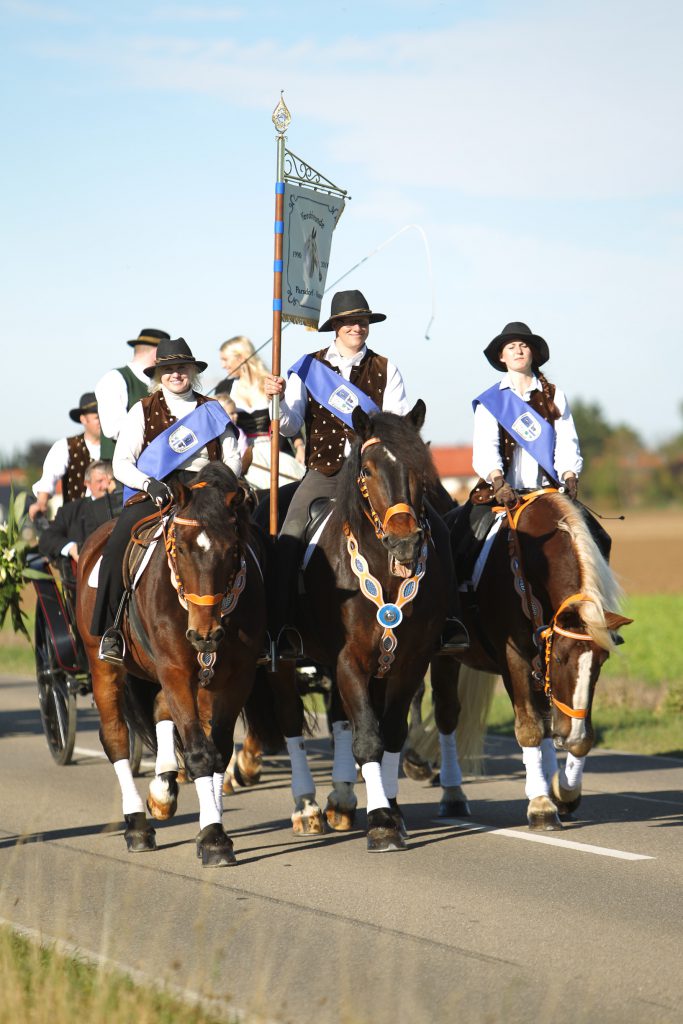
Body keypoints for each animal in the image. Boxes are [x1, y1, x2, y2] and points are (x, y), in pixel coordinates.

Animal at [75, 464, 278, 864]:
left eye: (233, 549)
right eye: (180, 548)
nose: (205, 635)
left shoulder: (236, 677)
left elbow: (219, 751)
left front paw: (211, 826)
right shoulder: (176, 672)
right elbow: (200, 752)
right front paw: (213, 837)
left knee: (160, 712)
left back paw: (163, 790)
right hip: (104, 665)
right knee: (116, 738)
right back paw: (138, 825)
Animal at [268, 403, 454, 851]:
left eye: (420, 467)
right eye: (367, 469)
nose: (406, 542)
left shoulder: (408, 662)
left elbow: (390, 733)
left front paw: (392, 810)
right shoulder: (348, 659)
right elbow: (368, 738)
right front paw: (382, 820)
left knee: (339, 718)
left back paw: (340, 800)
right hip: (287, 663)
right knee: (290, 721)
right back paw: (306, 807)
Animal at [430, 487, 634, 831]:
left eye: (602, 662)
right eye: (562, 659)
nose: (571, 732)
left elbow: (570, 732)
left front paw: (564, 791)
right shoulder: (515, 659)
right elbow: (529, 728)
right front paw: (541, 805)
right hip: (445, 657)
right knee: (446, 714)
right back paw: (453, 793)